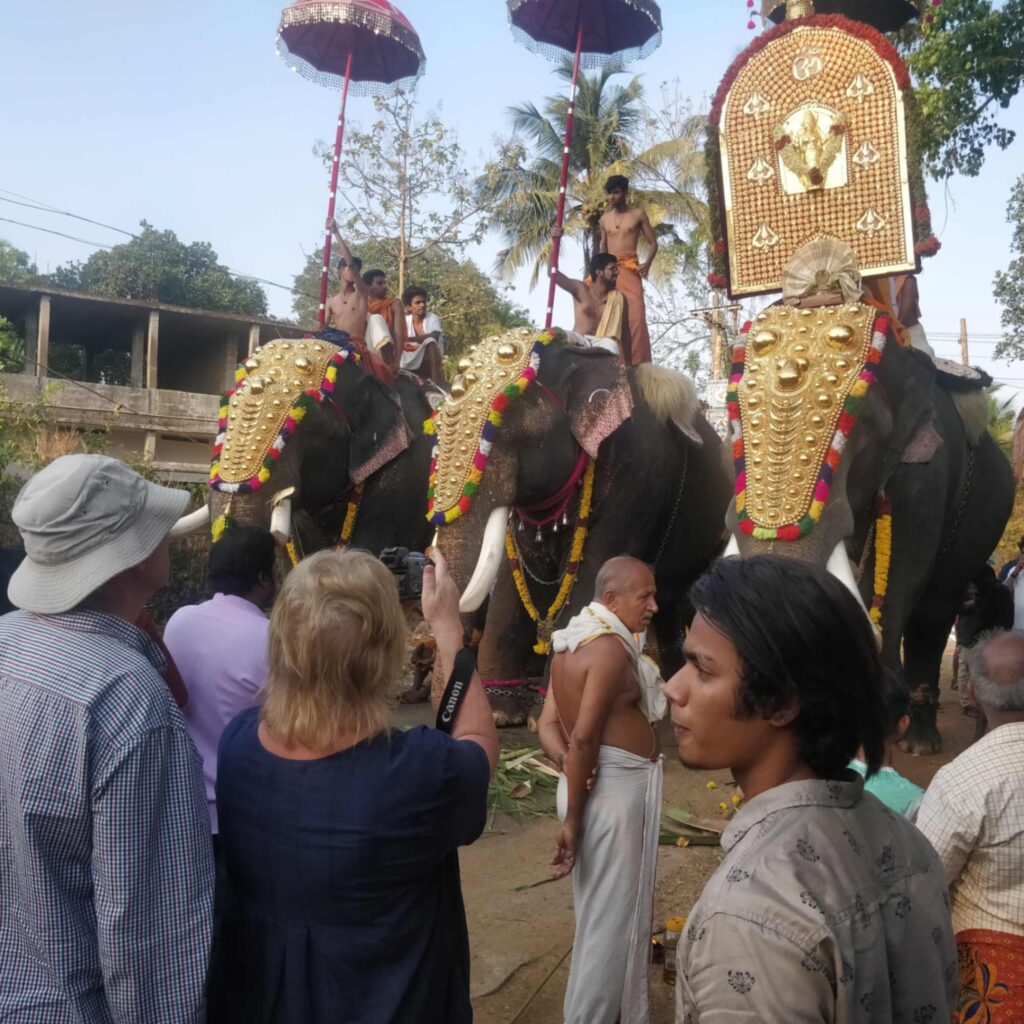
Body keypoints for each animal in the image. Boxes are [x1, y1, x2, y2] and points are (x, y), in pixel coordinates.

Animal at [428, 329, 733, 729]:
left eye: (508, 428)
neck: (579, 358)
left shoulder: (637, 476)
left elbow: (595, 568)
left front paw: (548, 715)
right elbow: (517, 573)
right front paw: (500, 713)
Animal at [724, 294, 1011, 753]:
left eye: (863, 431)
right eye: (733, 422)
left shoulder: (926, 470)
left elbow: (902, 570)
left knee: (935, 607)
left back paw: (919, 741)